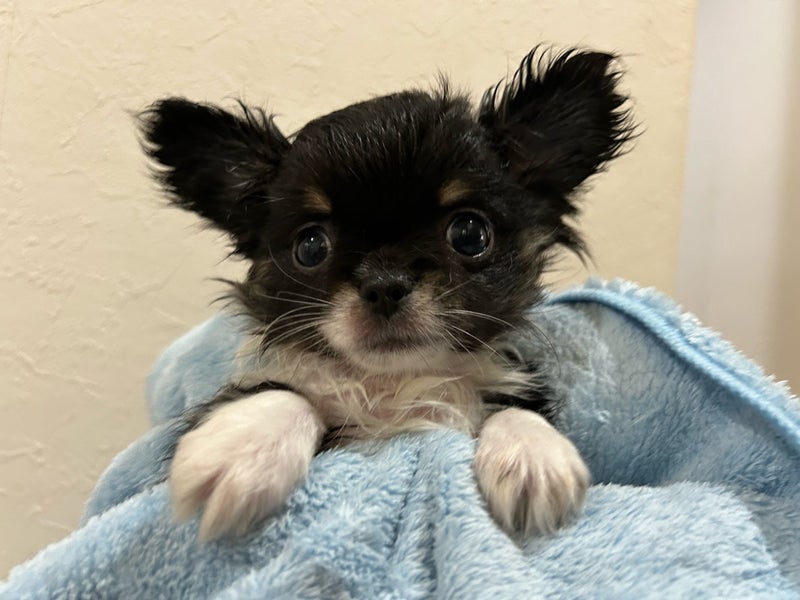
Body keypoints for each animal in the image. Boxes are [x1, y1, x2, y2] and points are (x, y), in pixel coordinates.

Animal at [139, 46, 634, 542]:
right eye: (310, 247)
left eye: (471, 234)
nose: (384, 283)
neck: (394, 386)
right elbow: (288, 394)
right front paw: (242, 449)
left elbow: (514, 406)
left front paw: (533, 456)